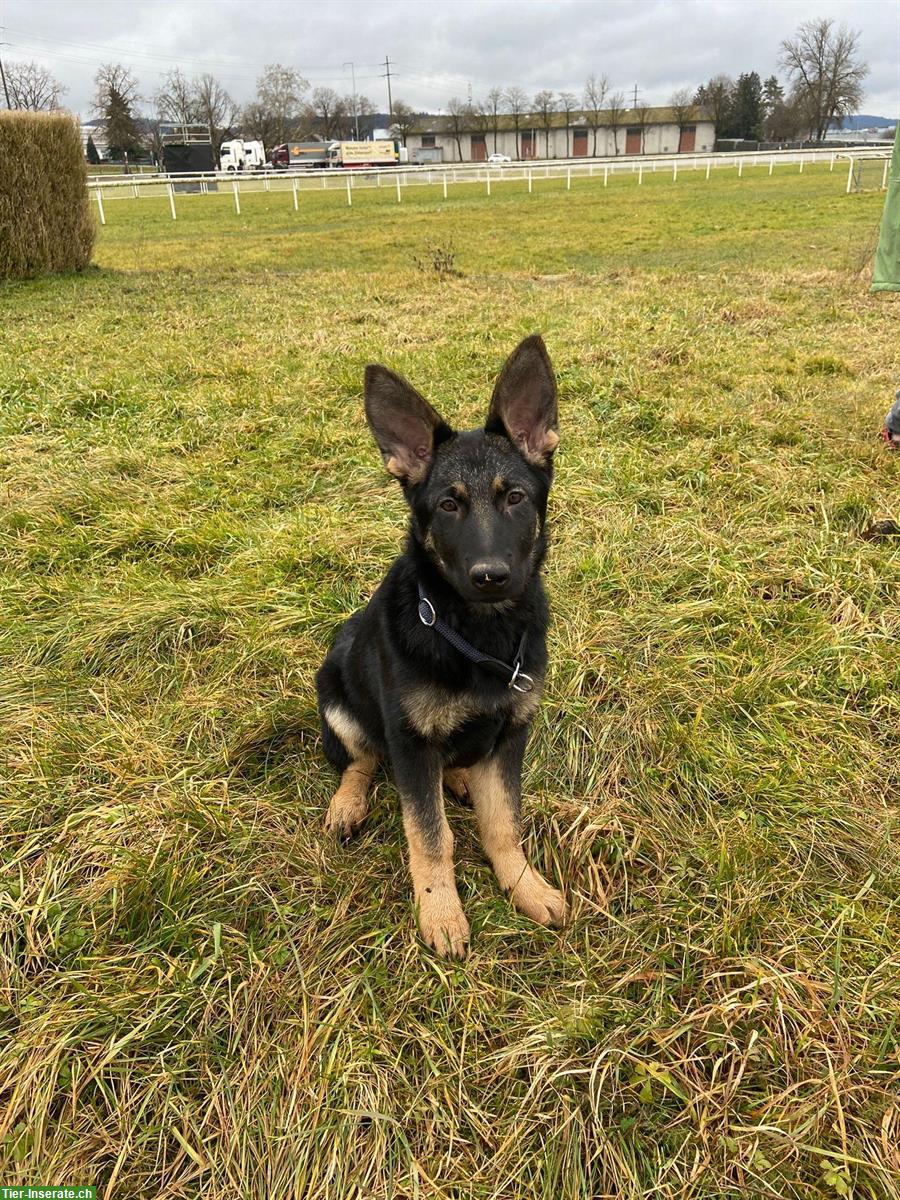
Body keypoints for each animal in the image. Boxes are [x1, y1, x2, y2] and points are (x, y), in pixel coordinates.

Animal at [316, 336, 566, 955]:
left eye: (515, 498)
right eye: (448, 505)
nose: (490, 576)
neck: (477, 631)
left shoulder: (511, 733)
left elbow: (503, 822)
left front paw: (523, 885)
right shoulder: (409, 742)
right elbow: (429, 836)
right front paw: (441, 912)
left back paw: (458, 781)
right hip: (337, 700)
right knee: (360, 761)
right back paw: (348, 804)